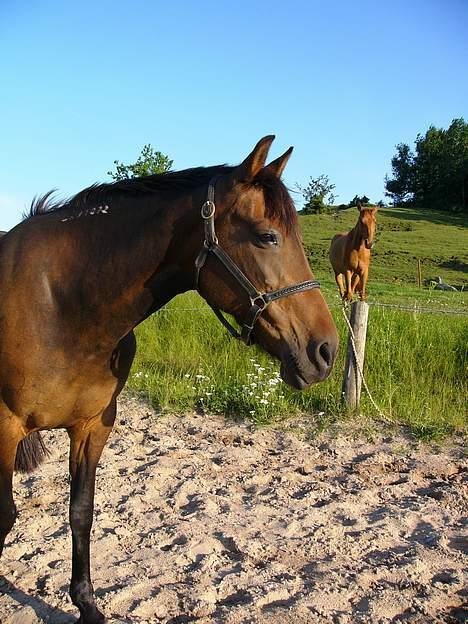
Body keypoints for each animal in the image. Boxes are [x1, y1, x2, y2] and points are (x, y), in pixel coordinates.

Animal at [0, 136, 336, 624]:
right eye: (266, 236)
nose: (324, 351)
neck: (63, 304)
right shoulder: (4, 427)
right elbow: (5, 516)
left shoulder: (92, 427)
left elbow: (80, 511)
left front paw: (86, 604)